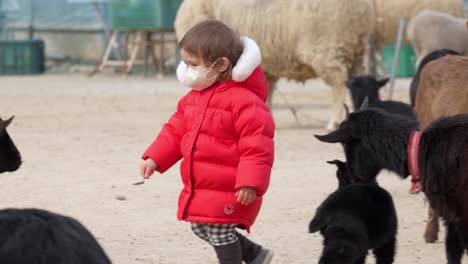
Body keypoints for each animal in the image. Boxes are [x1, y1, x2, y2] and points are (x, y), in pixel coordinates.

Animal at [316, 104, 468, 262]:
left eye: (345, 144)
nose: (354, 179)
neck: (421, 150)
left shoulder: (461, 214)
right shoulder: (452, 216)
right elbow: (453, 253)